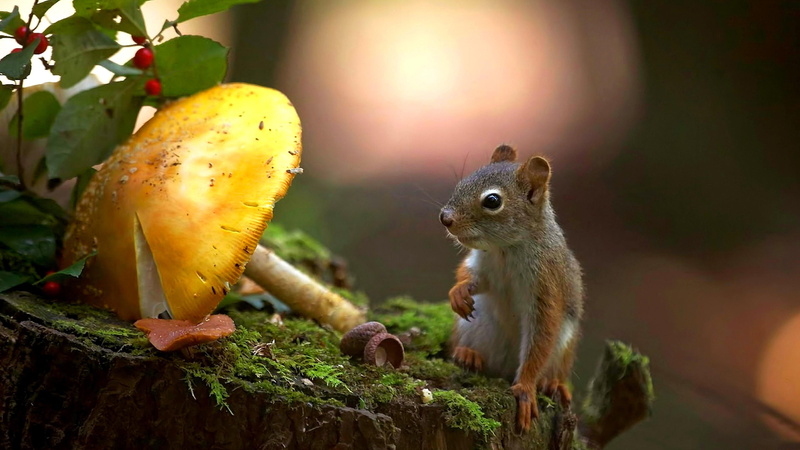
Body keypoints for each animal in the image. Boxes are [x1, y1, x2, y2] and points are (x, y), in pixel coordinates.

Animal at [439, 144, 584, 431]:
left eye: (493, 201)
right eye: (462, 182)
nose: (444, 218)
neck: (504, 250)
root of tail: (505, 370)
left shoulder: (546, 285)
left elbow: (542, 333)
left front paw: (525, 390)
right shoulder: (481, 264)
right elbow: (470, 276)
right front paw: (458, 292)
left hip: (565, 344)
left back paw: (552, 383)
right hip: (475, 327)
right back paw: (467, 354)